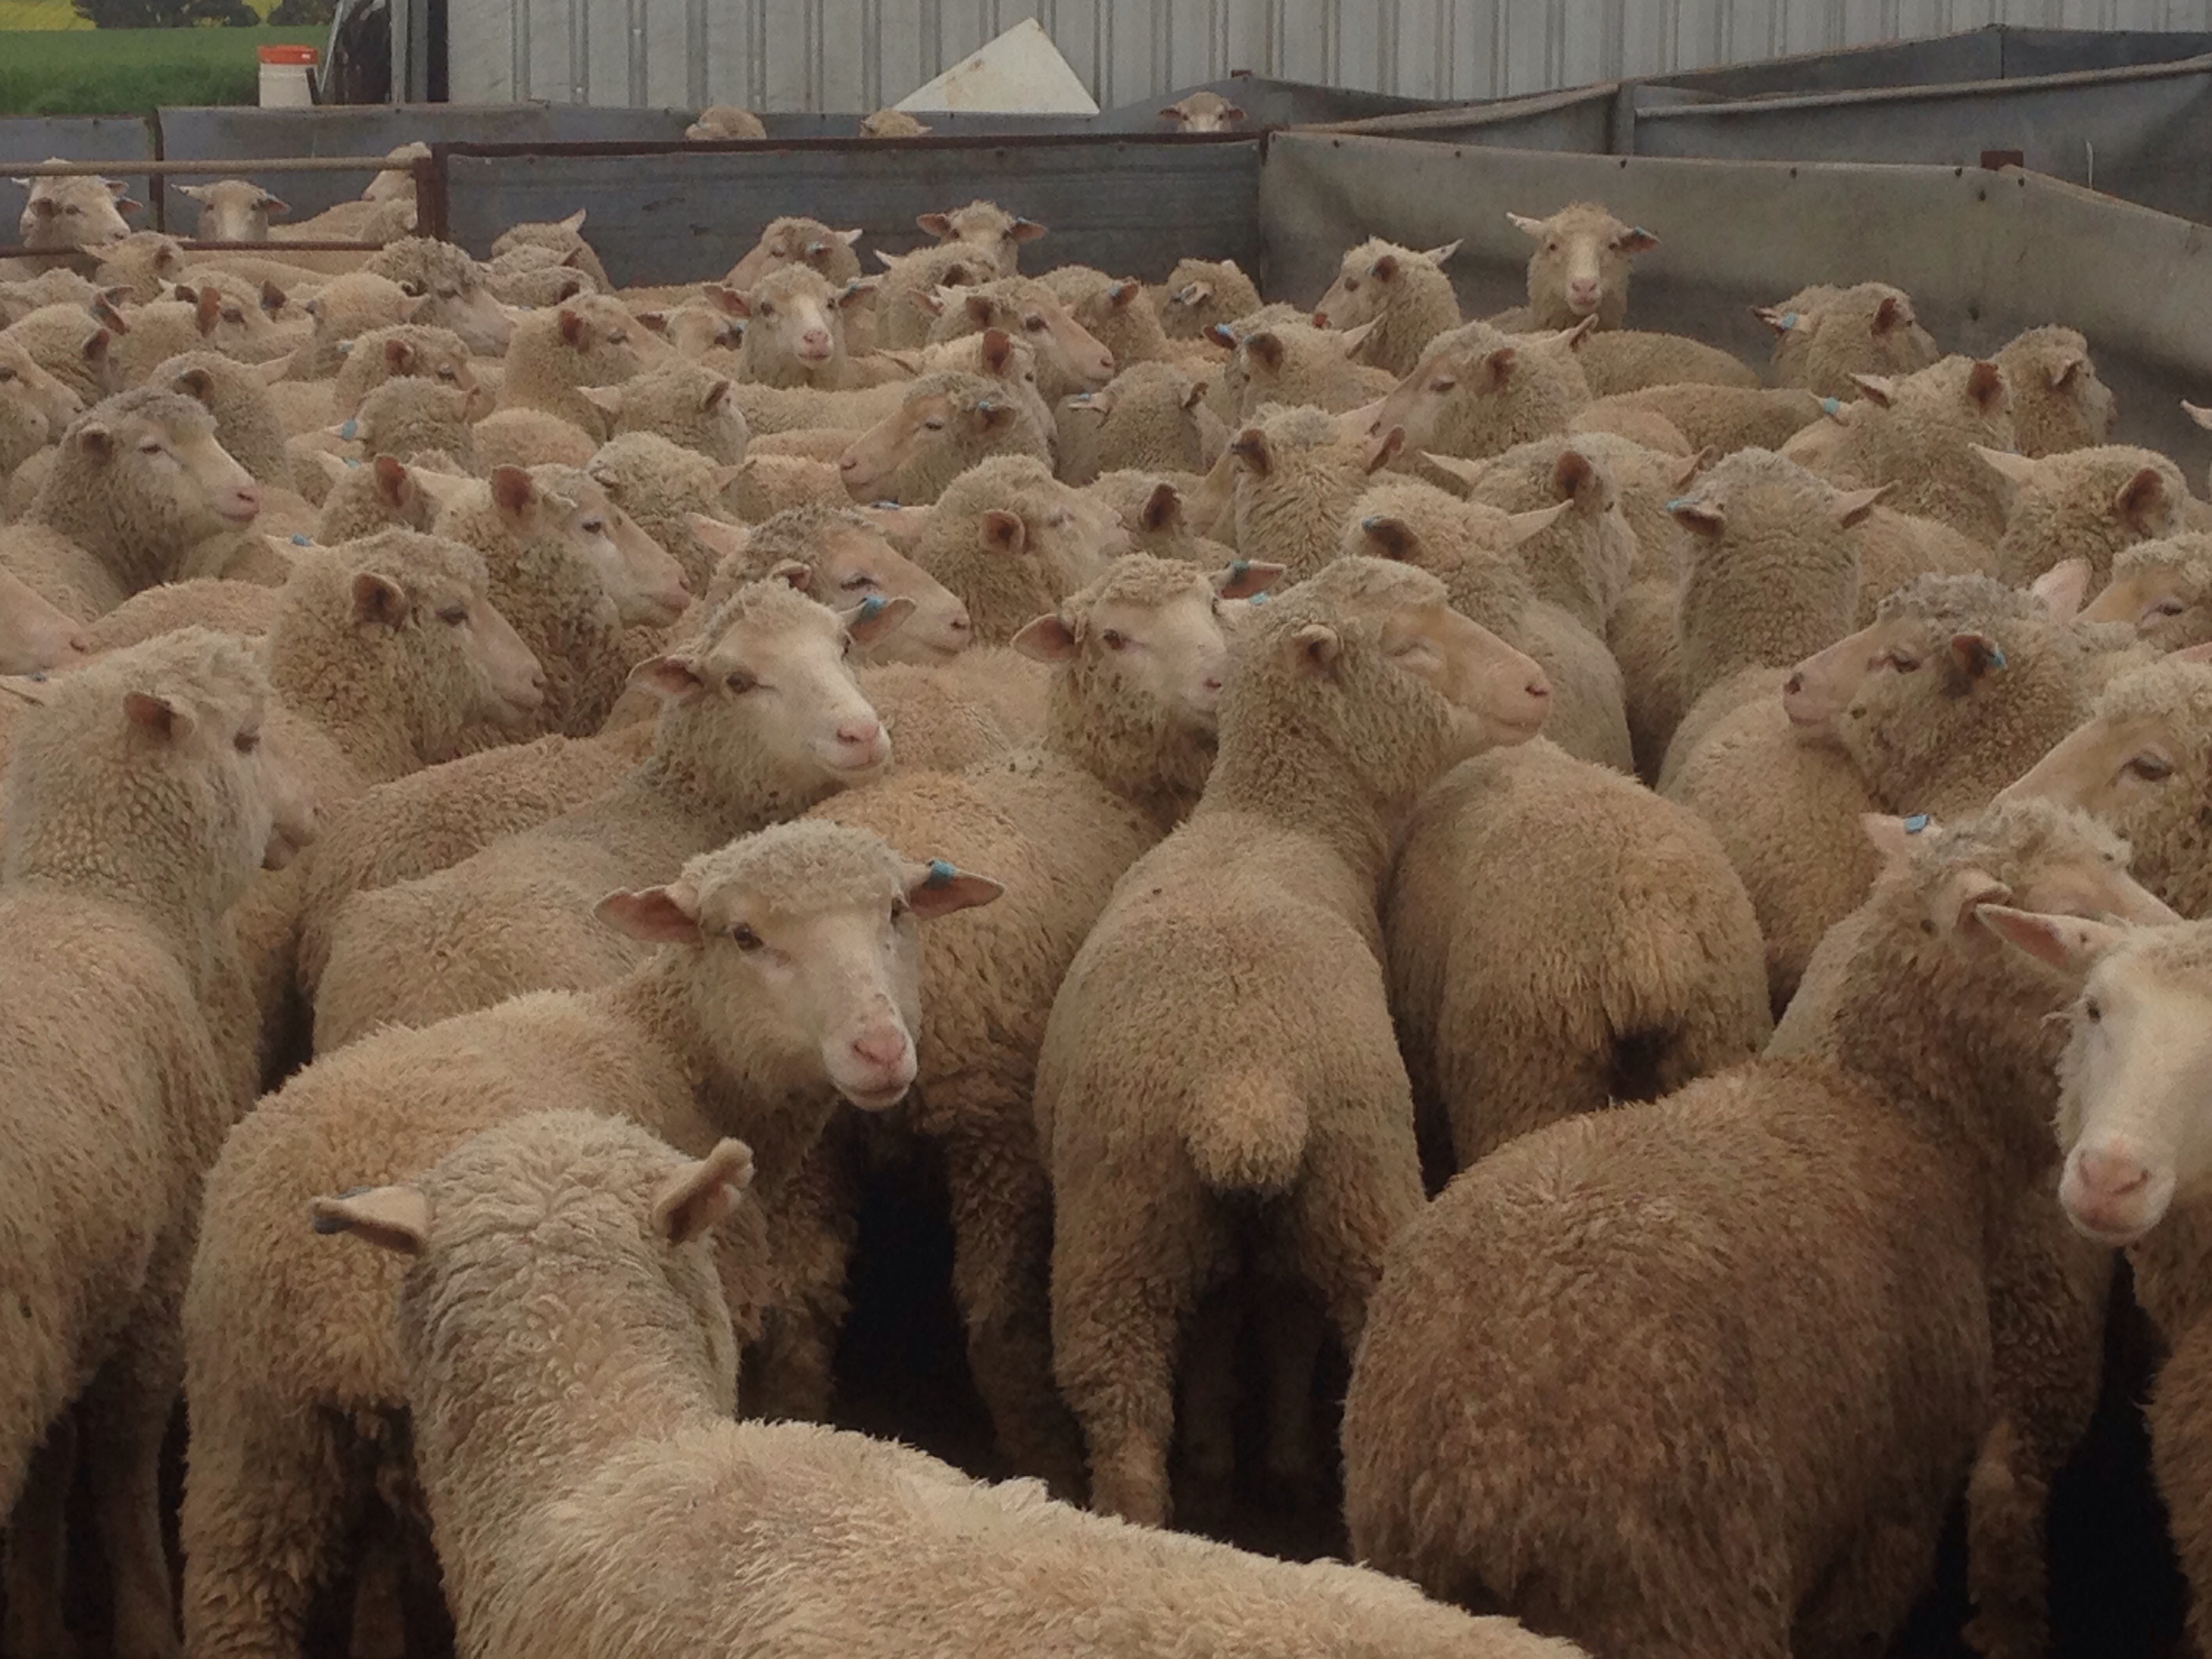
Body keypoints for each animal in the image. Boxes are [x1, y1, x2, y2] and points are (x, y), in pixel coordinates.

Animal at [0, 628, 309, 1659]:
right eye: (248, 739)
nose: (311, 816)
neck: (97, 889)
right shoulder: (156, 1281)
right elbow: (124, 1470)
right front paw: (145, 1619)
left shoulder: (72, 1308)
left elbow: (49, 1487)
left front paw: (36, 1618)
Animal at [180, 819, 1004, 1659]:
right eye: (744, 935)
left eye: (896, 911)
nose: (880, 1049)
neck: (670, 1051)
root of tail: (325, 1301)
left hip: (248, 1445)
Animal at [1037, 556, 1551, 1525]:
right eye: (1408, 646)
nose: (1539, 687)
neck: (1272, 817)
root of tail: (1240, 1090)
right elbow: (1286, 1335)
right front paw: (1279, 1459)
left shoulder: (1232, 1248)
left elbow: (1239, 1333)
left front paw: (1226, 1459)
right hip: (1359, 1195)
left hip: (1122, 1232)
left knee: (1127, 1423)